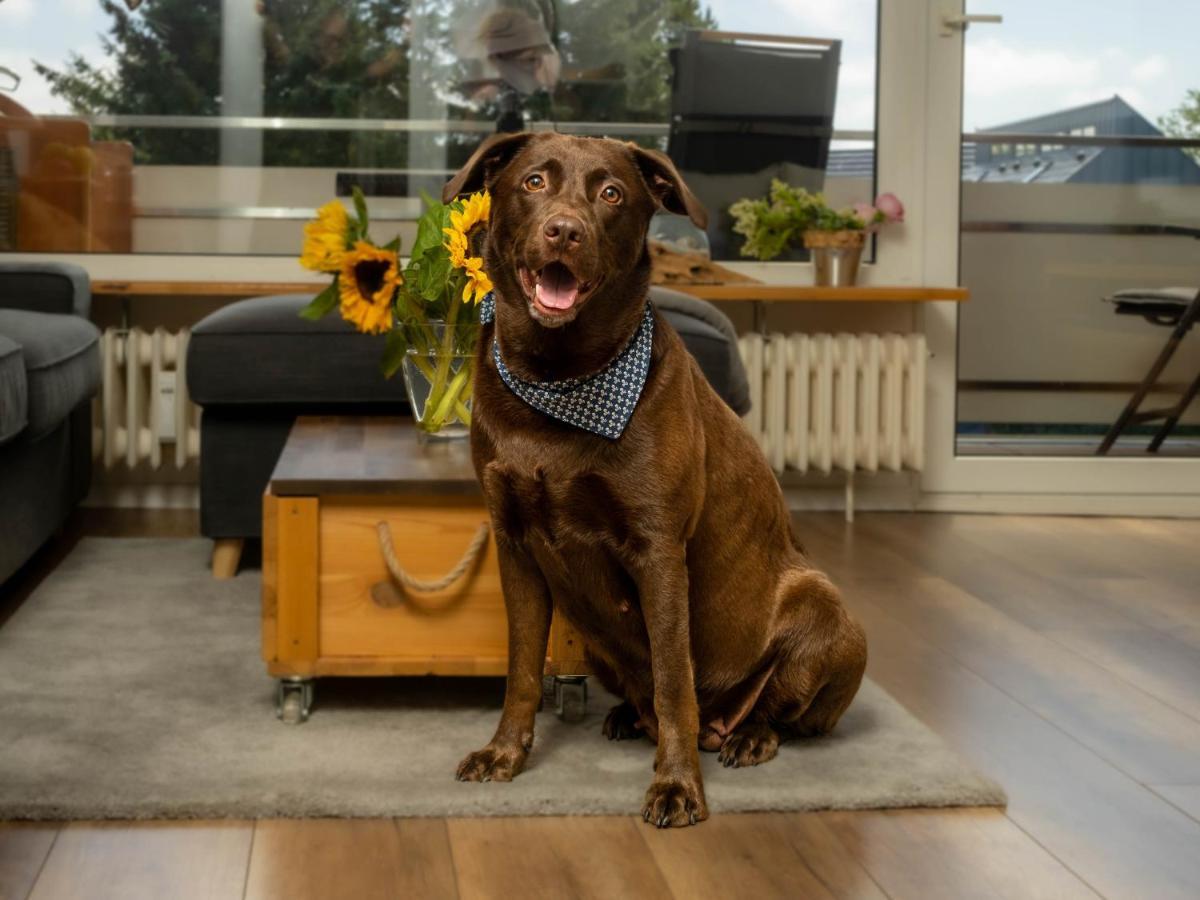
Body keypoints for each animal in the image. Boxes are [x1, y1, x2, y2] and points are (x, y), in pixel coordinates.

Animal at [446, 130, 868, 830]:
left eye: (612, 194)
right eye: (534, 182)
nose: (565, 231)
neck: (559, 379)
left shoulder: (660, 552)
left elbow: (675, 682)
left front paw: (676, 786)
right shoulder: (515, 547)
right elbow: (522, 670)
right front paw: (504, 753)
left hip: (829, 610)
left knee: (781, 714)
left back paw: (749, 737)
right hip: (592, 637)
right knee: (649, 700)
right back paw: (626, 717)